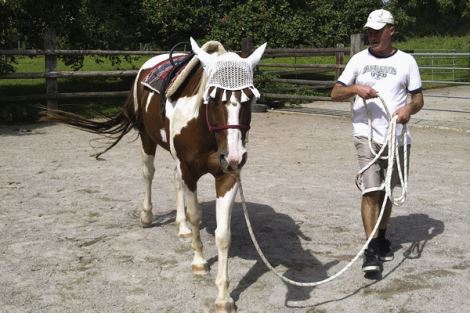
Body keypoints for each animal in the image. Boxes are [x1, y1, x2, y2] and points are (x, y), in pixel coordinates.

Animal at [43, 39, 268, 312]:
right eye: (213, 98)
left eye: (249, 99)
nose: (235, 156)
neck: (204, 128)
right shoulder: (190, 171)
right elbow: (195, 216)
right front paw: (199, 261)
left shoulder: (227, 177)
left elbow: (223, 235)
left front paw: (224, 296)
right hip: (147, 139)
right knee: (148, 174)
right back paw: (147, 216)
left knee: (174, 180)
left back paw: (181, 227)